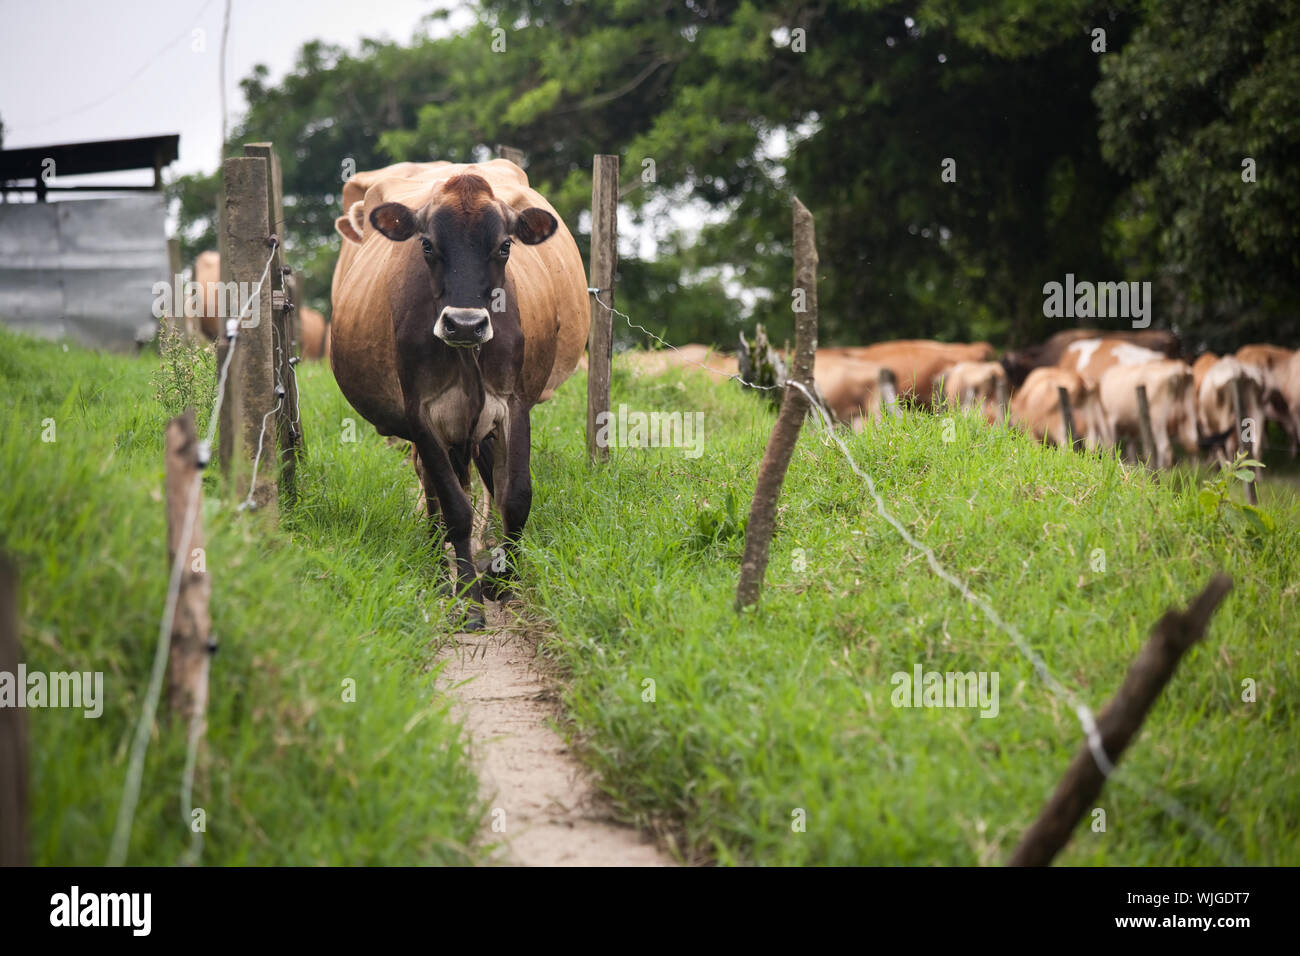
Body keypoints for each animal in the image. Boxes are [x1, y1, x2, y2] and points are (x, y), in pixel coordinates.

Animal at [329, 160, 589, 628]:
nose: (465, 324)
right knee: (436, 492)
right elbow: (454, 507)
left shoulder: (514, 406)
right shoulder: (421, 414)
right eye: (427, 245)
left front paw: (503, 581)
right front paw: (468, 598)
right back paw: (439, 573)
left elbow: (515, 496)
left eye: (504, 246)